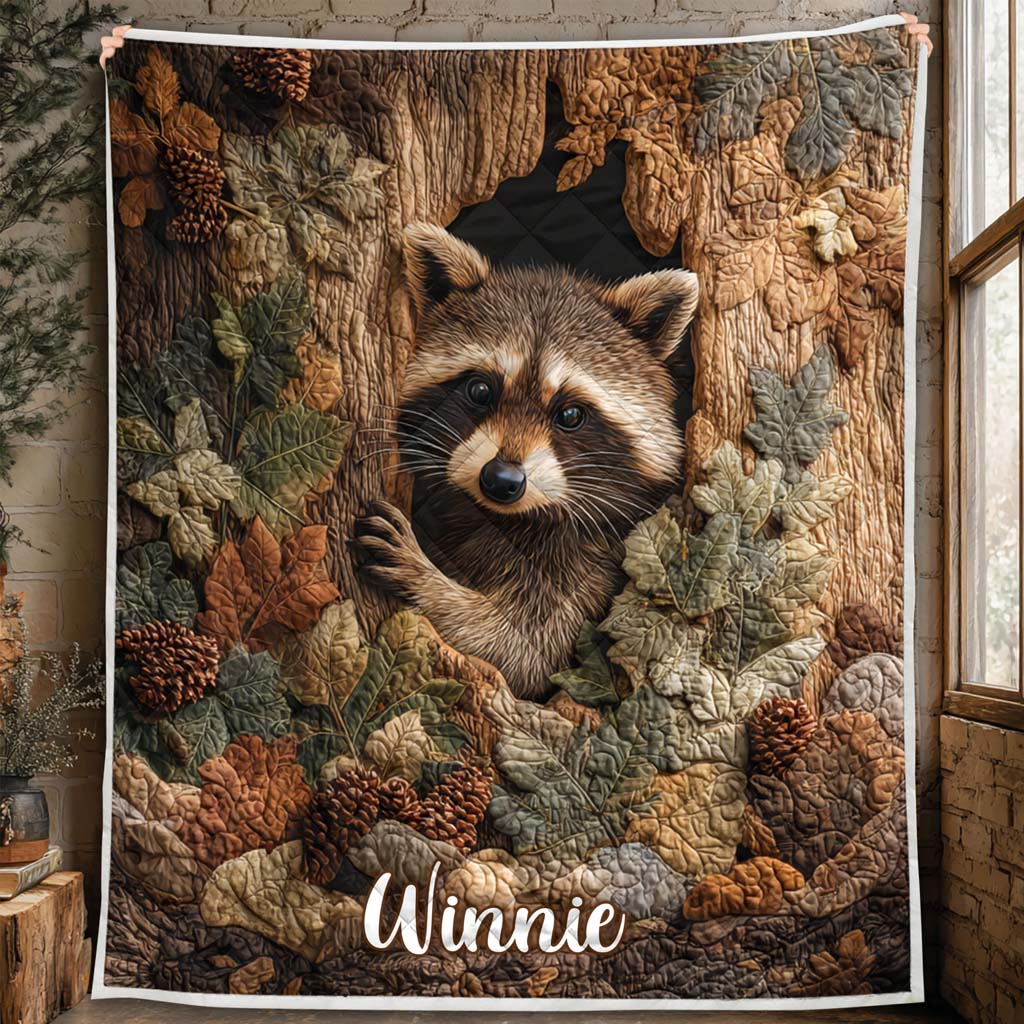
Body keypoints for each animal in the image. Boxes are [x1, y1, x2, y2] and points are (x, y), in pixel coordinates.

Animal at [354, 223, 698, 700]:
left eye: (570, 414)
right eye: (480, 390)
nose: (501, 480)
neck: (509, 519)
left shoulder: (602, 560)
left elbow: (525, 650)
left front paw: (428, 582)